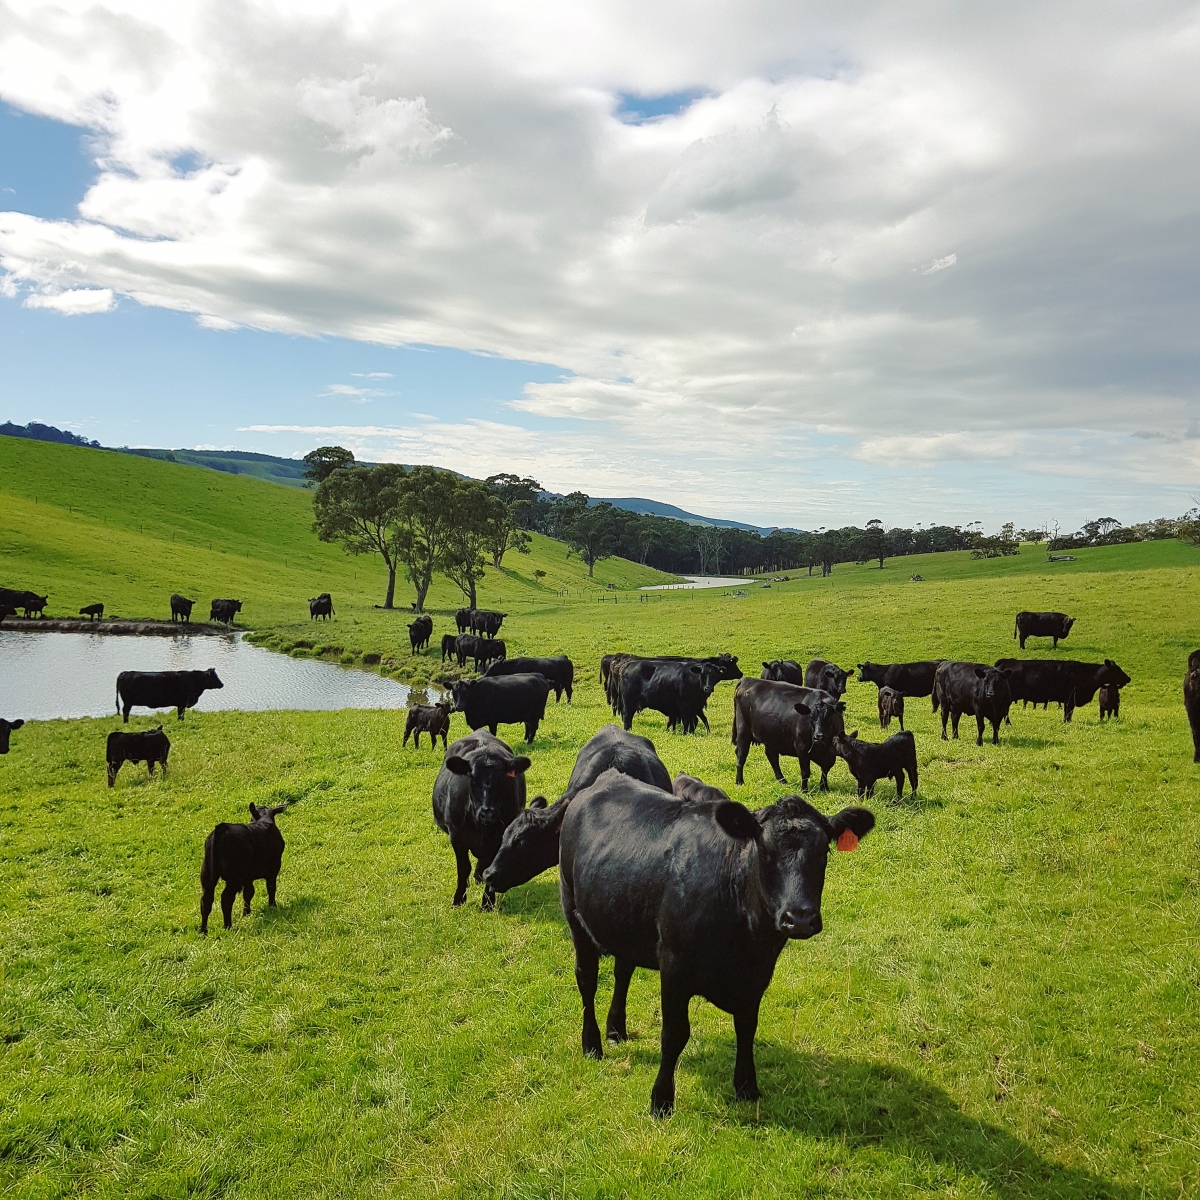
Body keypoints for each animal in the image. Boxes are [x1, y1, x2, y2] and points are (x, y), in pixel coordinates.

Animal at [199, 801, 290, 931]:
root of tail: (222, 827)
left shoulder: (248, 877)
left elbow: (248, 893)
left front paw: (246, 913)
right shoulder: (274, 868)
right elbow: (271, 888)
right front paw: (272, 906)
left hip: (207, 874)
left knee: (206, 900)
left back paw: (203, 931)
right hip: (234, 877)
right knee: (226, 898)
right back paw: (227, 926)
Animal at [429, 729, 528, 907]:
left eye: (503, 778)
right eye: (472, 778)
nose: (487, 812)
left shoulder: (500, 836)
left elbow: (489, 867)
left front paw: (488, 903)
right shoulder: (456, 835)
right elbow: (463, 868)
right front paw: (458, 899)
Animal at [556, 768, 878, 1113]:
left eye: (823, 852)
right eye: (765, 851)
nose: (800, 917)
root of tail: (608, 777)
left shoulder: (758, 974)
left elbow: (747, 1027)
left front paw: (747, 1087)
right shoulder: (673, 964)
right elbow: (674, 1033)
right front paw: (661, 1100)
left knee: (623, 971)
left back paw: (616, 1029)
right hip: (574, 913)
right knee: (587, 981)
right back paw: (592, 1044)